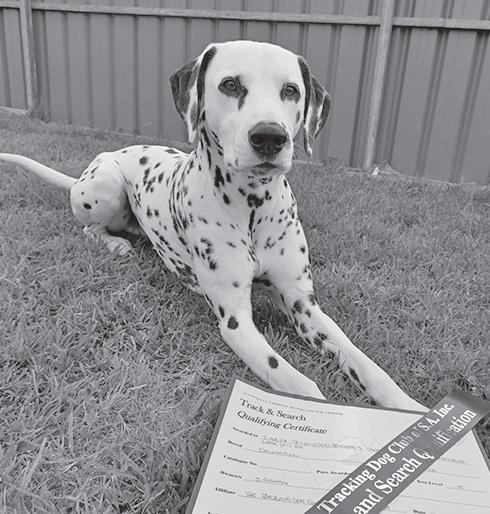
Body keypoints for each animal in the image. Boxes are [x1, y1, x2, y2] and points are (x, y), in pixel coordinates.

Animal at [0, 40, 423, 410]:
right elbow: (296, 381)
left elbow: (367, 364)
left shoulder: (304, 303)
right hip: (104, 187)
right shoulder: (235, 321)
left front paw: (408, 405)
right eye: (230, 84)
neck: (253, 206)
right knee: (90, 229)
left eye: (291, 90)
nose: (269, 136)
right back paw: (116, 244)